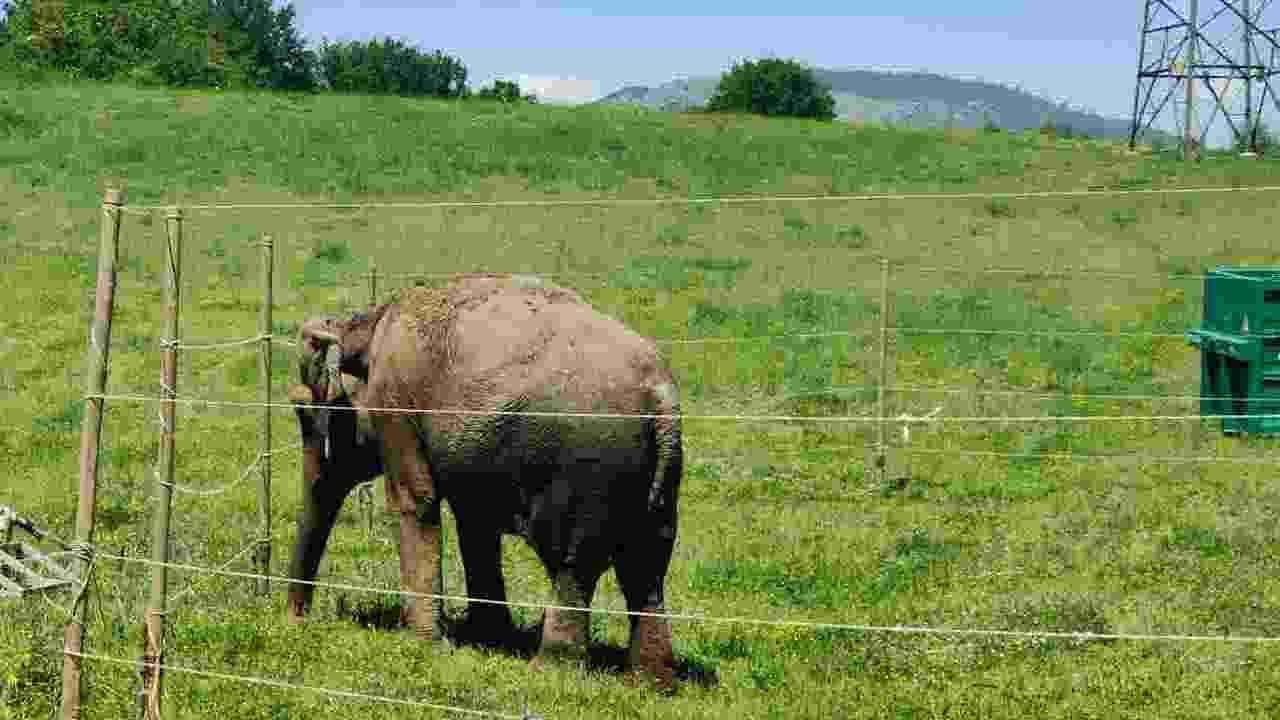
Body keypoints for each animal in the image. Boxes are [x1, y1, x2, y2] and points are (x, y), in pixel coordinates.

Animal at [284, 273, 684, 688]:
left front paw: (426, 644)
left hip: (591, 463)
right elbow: (474, 523)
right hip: (659, 473)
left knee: (573, 561)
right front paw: (487, 637)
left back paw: (549, 668)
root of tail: (661, 397)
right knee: (647, 563)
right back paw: (649, 681)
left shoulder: (395, 403)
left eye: (304, 413)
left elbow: (415, 500)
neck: (368, 324)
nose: (296, 620)